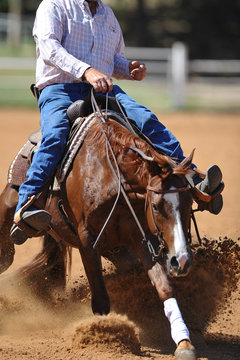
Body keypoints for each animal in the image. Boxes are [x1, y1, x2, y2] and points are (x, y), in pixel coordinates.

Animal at [0, 110, 197, 360]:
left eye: (189, 203)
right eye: (155, 206)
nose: (182, 261)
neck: (113, 178)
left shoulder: (141, 239)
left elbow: (164, 287)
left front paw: (184, 342)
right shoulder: (87, 240)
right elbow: (101, 295)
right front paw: (105, 340)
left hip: (115, 249)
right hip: (10, 212)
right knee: (5, 256)